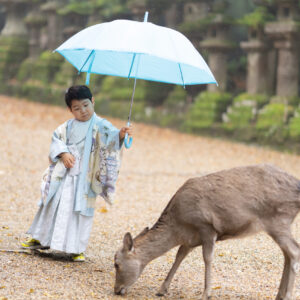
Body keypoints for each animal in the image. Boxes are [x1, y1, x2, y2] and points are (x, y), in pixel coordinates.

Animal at [113, 164, 300, 300]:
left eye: (116, 264)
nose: (116, 290)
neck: (178, 226)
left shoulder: (206, 227)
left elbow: (207, 258)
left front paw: (206, 294)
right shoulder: (190, 239)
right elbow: (179, 256)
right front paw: (161, 290)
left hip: (278, 220)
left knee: (294, 251)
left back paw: (288, 296)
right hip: (281, 224)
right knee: (287, 255)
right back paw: (279, 295)